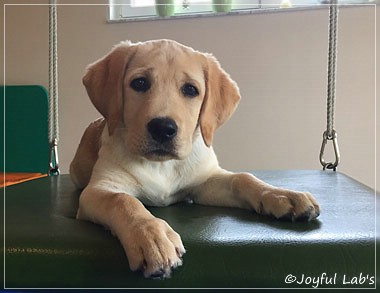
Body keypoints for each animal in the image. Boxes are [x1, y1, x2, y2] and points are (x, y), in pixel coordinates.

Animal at [70, 39, 320, 278]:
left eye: (190, 90)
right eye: (139, 83)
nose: (163, 128)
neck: (162, 165)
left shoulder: (205, 181)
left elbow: (242, 178)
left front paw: (283, 195)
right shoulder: (99, 189)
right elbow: (123, 200)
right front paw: (152, 238)